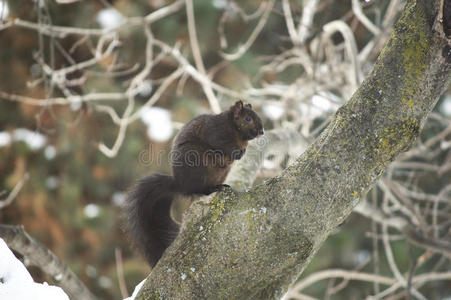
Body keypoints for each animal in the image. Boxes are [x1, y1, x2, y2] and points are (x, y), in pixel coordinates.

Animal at [123, 101, 264, 268]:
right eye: (248, 118)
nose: (262, 131)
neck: (233, 128)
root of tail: (180, 184)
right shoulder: (216, 131)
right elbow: (221, 144)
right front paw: (236, 152)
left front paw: (242, 152)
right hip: (197, 162)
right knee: (198, 189)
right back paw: (211, 188)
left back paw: (221, 186)